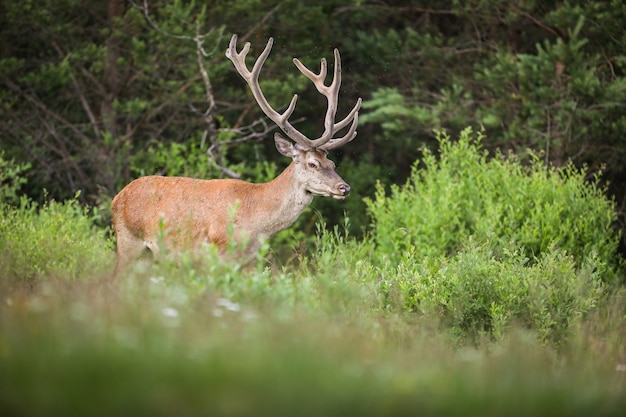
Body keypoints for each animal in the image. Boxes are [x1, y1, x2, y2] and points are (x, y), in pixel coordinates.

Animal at [109, 34, 358, 274]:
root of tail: (117, 198)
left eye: (332, 164)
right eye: (313, 164)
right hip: (129, 242)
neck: (256, 222)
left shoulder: (249, 261)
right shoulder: (218, 253)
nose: (344, 188)